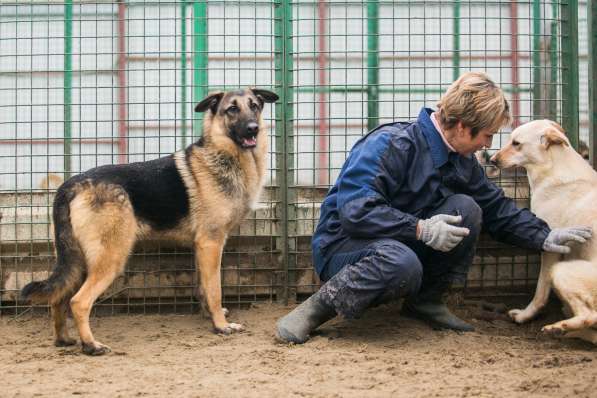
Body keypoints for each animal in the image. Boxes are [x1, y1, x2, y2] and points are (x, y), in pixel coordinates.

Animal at [20, 87, 278, 354]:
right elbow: (214, 289)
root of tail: (71, 185)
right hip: (110, 259)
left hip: (78, 261)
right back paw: (91, 345)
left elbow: (203, 288)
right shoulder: (211, 244)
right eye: (232, 109)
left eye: (254, 106)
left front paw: (209, 317)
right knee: (79, 301)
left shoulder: (201, 248)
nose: (253, 128)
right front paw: (221, 326)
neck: (223, 152)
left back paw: (64, 339)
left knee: (58, 298)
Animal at [488, 119, 596, 344]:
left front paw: (524, 316)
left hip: (561, 271)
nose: (492, 160)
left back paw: (559, 328)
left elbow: (540, 291)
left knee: (590, 315)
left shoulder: (551, 249)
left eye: (516, 143)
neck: (553, 168)